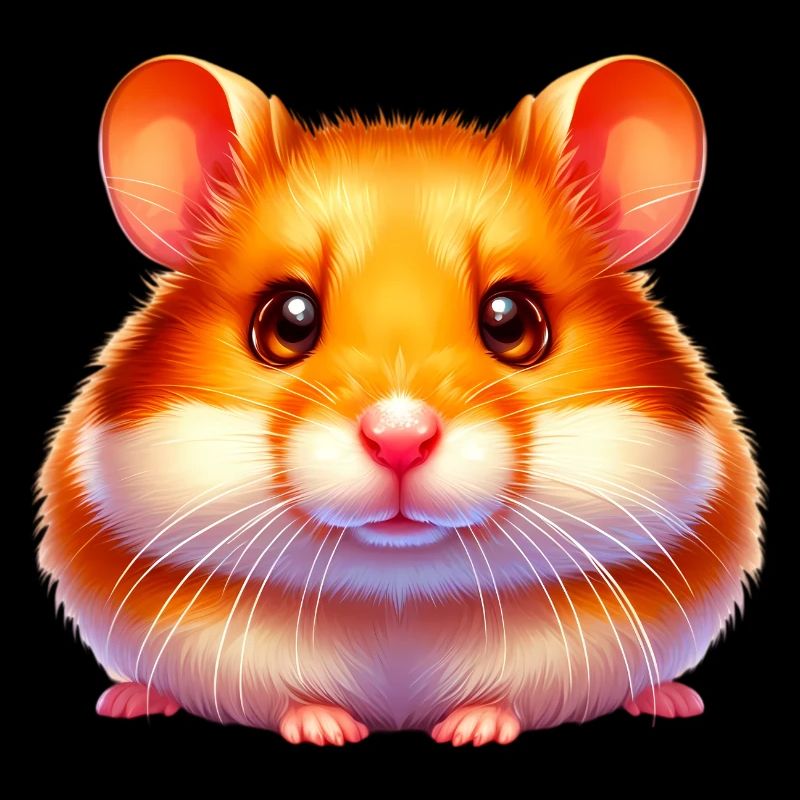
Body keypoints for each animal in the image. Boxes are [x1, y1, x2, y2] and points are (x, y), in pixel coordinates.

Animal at [36, 54, 762, 745]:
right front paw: (327, 732)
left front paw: (471, 732)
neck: (399, 595)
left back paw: (672, 699)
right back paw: (127, 700)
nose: (399, 438)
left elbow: (516, 700)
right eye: (288, 320)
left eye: (511, 321)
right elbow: (283, 700)